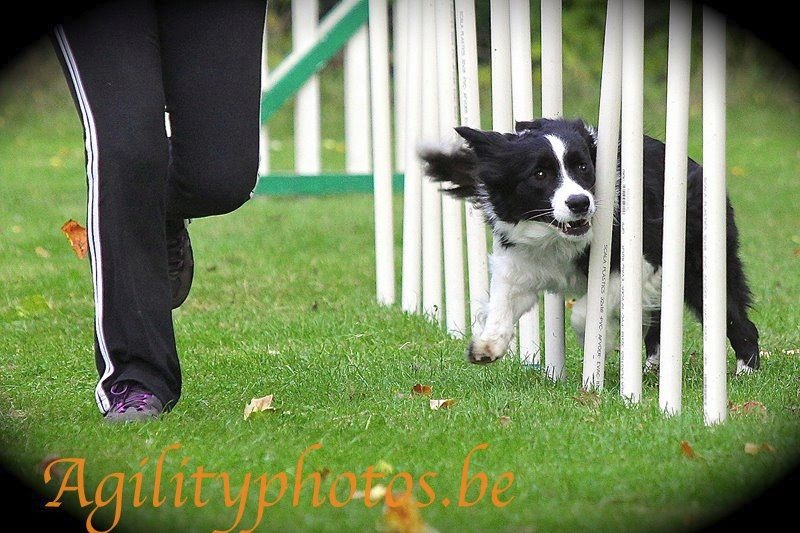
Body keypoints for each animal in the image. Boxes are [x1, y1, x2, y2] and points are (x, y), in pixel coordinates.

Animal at [418, 116, 764, 374]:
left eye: (583, 166)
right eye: (539, 173)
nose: (579, 203)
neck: (557, 236)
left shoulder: (642, 260)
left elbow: (585, 312)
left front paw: (601, 341)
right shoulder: (520, 261)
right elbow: (503, 302)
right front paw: (486, 345)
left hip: (698, 264)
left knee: (736, 318)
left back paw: (745, 371)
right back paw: (654, 366)